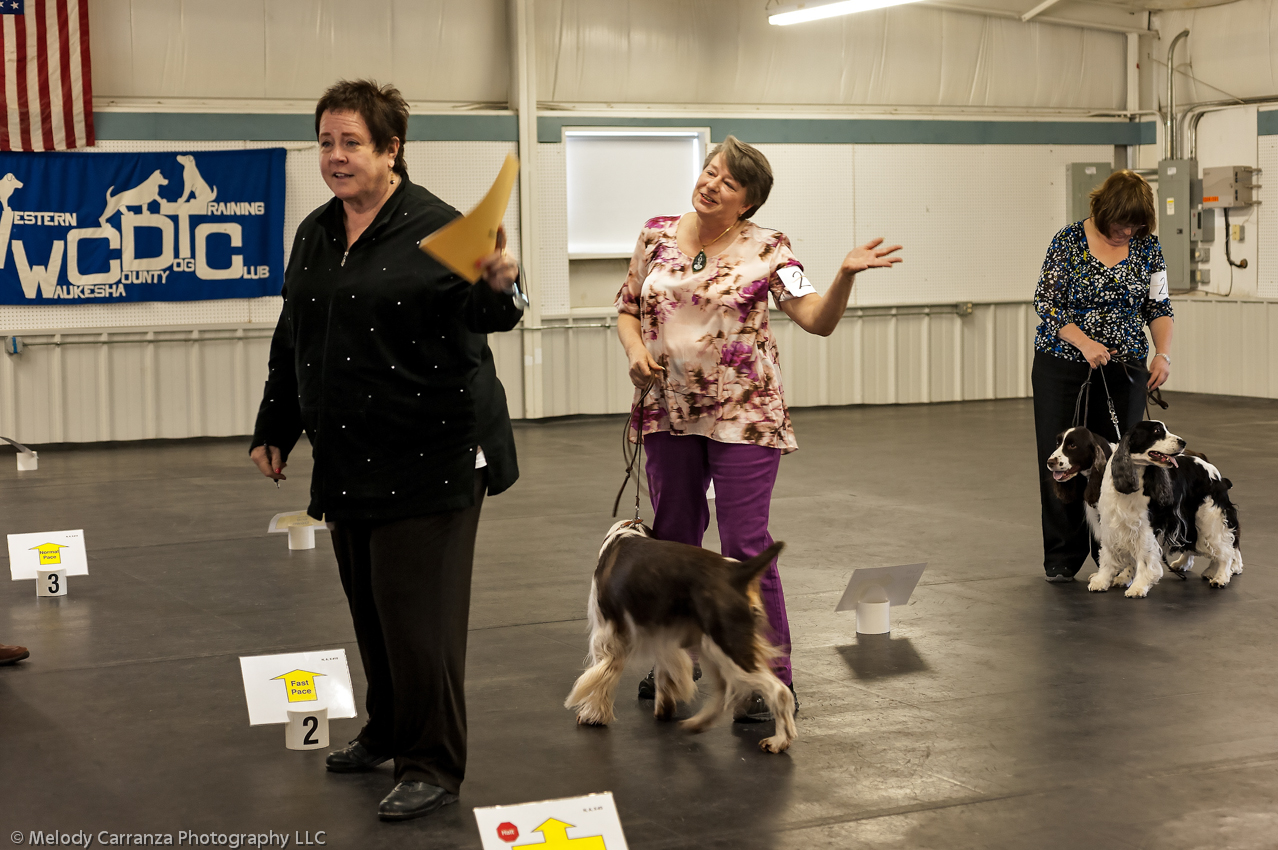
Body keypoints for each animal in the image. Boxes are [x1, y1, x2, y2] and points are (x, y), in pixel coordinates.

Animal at [564, 521, 792, 751]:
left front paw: (593, 715)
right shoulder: (664, 635)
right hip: (712, 647)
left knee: (778, 691)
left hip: (727, 644)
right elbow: (665, 671)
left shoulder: (607, 636)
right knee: (725, 690)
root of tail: (737, 572)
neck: (626, 533)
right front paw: (664, 707)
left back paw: (778, 741)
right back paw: (698, 723)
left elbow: (601, 676)